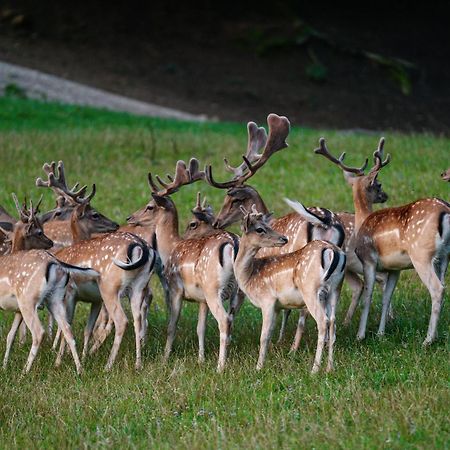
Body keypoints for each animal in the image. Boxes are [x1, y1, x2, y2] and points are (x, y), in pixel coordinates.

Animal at [0, 195, 99, 374]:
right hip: (54, 298)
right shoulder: (17, 310)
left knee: (39, 332)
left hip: (28, 300)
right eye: (39, 232)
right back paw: (79, 370)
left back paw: (24, 372)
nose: (50, 242)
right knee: (68, 330)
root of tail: (55, 262)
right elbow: (10, 335)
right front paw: (4, 366)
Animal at [234, 207, 346, 372]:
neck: (250, 277)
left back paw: (314, 369)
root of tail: (333, 251)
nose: (284, 239)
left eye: (266, 225)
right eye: (260, 229)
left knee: (322, 321)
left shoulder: (267, 300)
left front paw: (258, 367)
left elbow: (264, 336)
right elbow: (271, 333)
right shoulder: (276, 306)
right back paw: (329, 368)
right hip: (336, 289)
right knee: (332, 321)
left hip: (310, 290)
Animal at [316, 135, 450, 342]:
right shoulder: (395, 268)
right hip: (444, 256)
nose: (385, 195)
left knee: (437, 289)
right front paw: (380, 333)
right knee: (443, 285)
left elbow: (368, 295)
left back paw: (427, 340)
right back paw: (435, 335)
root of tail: (445, 210)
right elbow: (387, 297)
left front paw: (360, 335)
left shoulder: (369, 259)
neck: (363, 220)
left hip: (422, 254)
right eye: (379, 185)